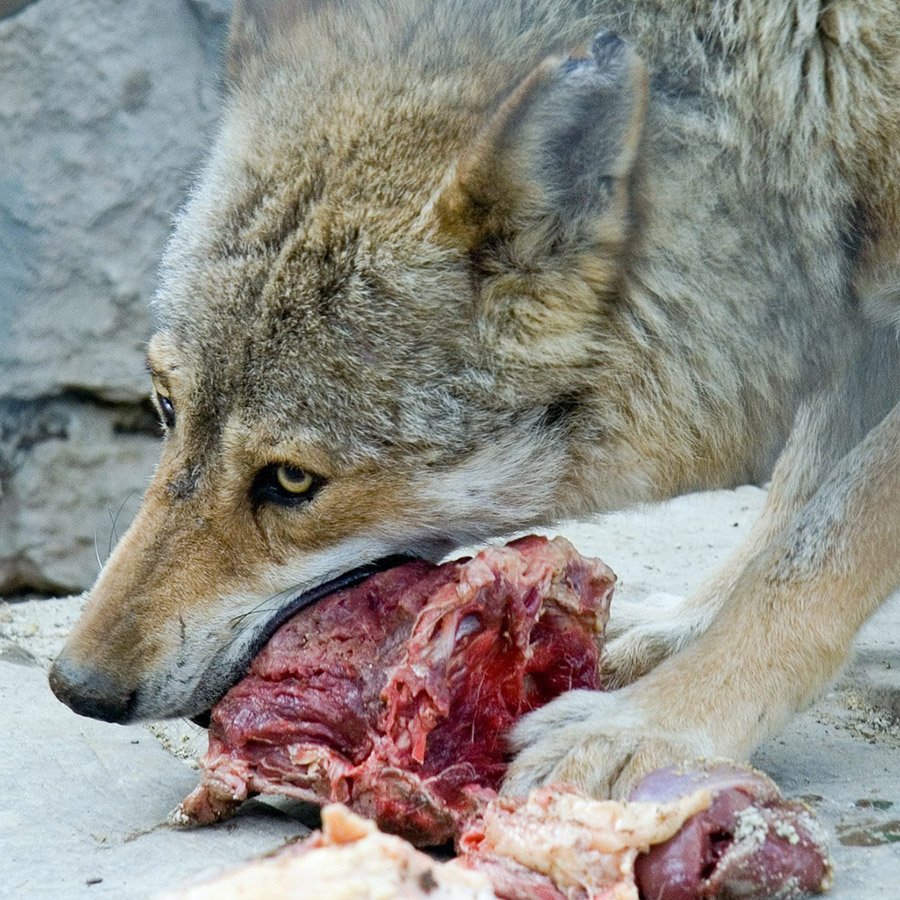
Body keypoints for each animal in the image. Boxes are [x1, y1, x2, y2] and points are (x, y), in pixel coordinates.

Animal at [50, 0, 899, 799]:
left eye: (292, 481)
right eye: (166, 407)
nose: (75, 687)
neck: (805, 89)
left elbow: (817, 550)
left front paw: (656, 724)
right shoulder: (854, 315)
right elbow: (792, 507)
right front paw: (679, 628)